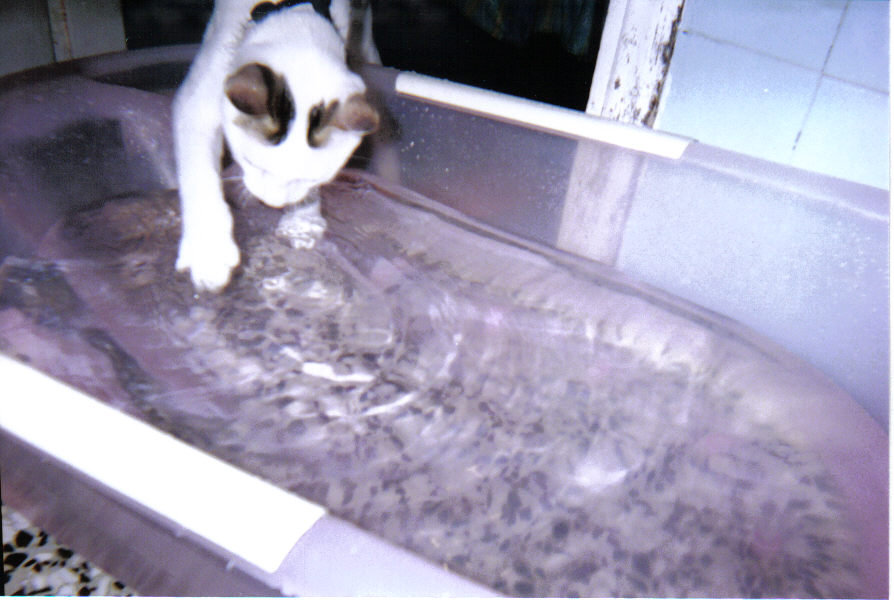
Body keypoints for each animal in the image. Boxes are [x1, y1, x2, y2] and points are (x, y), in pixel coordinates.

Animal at [173, 0, 380, 292]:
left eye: (315, 177)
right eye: (249, 161)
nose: (272, 203)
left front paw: (303, 219)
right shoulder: (198, 103)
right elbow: (199, 172)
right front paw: (209, 249)